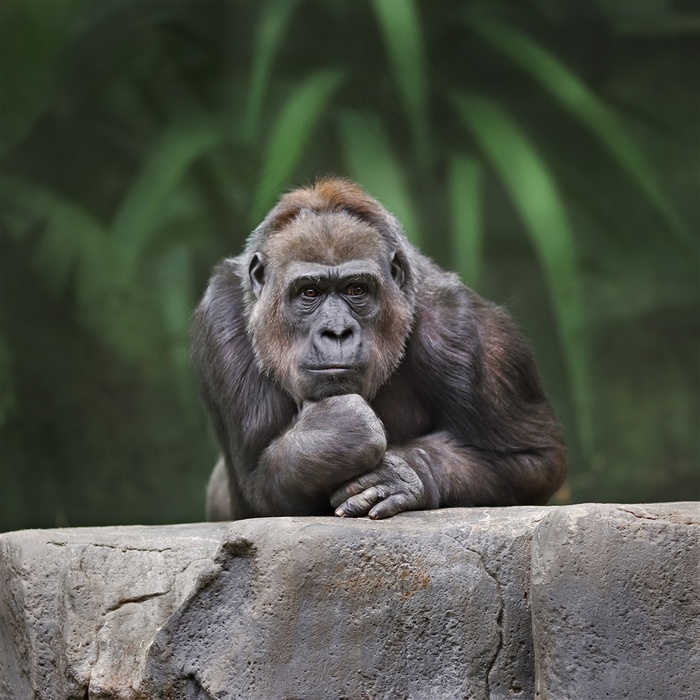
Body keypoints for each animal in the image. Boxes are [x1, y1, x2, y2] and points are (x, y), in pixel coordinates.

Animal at [194, 180, 568, 520]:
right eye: (309, 292)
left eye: (356, 289)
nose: (337, 332)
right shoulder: (220, 312)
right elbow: (257, 487)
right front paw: (334, 432)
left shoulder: (466, 330)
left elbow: (532, 460)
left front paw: (406, 473)